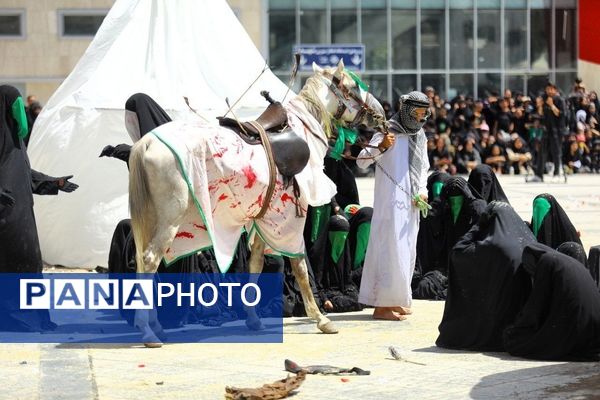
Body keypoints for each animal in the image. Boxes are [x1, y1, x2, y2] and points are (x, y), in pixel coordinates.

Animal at [129, 60, 386, 346]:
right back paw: (148, 332)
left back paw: (154, 325)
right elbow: (299, 265)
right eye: (354, 86)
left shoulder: (265, 217)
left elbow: (256, 264)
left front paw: (253, 319)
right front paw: (320, 318)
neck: (303, 129)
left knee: (142, 262)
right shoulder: (290, 217)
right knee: (150, 260)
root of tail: (147, 142)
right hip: (169, 220)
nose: (380, 113)